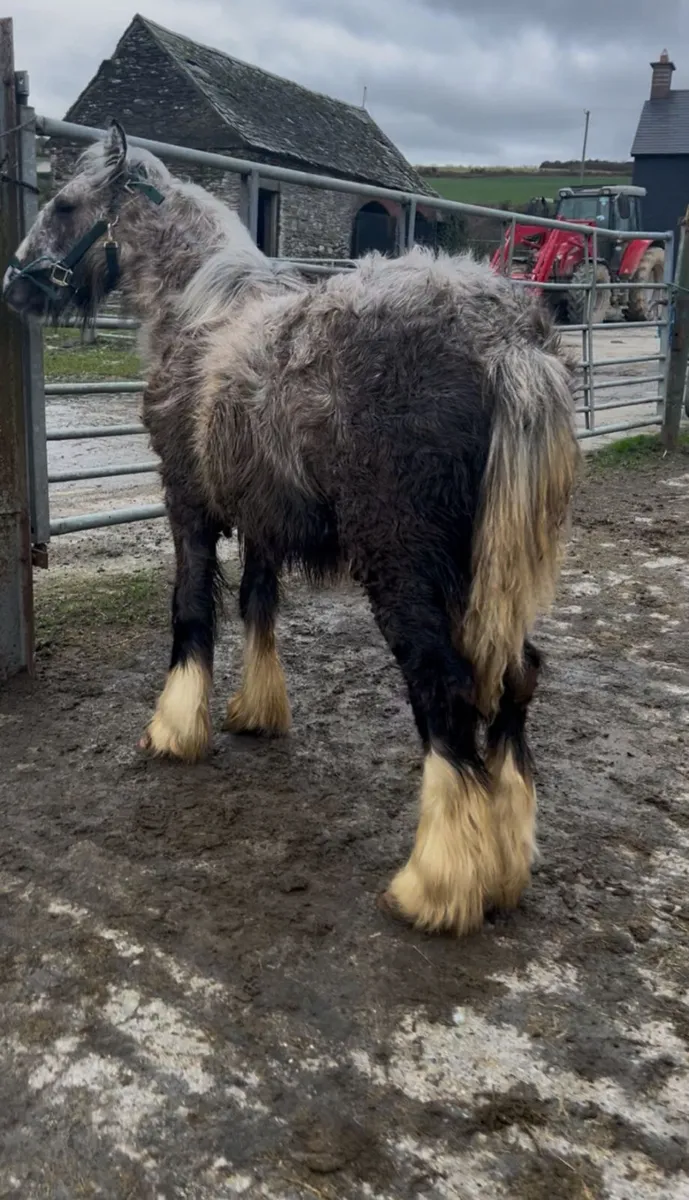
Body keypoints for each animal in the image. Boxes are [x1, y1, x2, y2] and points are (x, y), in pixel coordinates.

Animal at [3, 122, 581, 937]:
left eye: (62, 204)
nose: (13, 285)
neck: (199, 306)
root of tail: (509, 343)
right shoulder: (262, 518)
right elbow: (257, 605)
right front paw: (256, 712)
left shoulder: (187, 504)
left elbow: (190, 611)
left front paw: (175, 728)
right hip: (483, 573)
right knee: (514, 678)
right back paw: (502, 869)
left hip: (401, 562)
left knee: (443, 686)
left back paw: (437, 885)